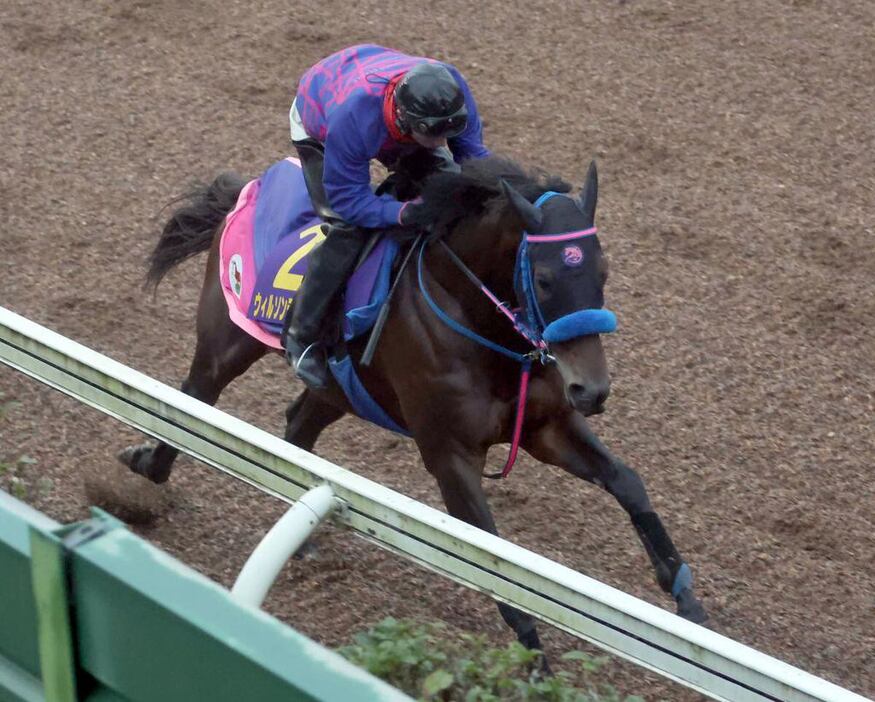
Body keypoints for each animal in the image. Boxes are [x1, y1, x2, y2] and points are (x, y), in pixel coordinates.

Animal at [121, 155, 712, 664]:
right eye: (544, 279)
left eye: (604, 271)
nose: (593, 390)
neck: (476, 321)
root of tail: (249, 189)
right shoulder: (451, 455)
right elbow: (495, 557)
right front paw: (534, 661)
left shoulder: (547, 426)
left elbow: (628, 483)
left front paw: (688, 603)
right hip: (227, 342)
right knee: (194, 400)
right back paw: (147, 467)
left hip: (340, 389)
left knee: (297, 427)